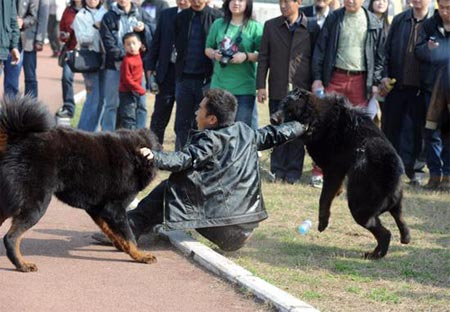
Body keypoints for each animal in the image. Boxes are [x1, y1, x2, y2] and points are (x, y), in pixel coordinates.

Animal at [0, 96, 160, 272]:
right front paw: (140, 255)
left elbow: (112, 232)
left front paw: (122, 246)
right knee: (11, 238)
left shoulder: (99, 208)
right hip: (35, 205)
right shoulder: (115, 209)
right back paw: (22, 264)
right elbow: (129, 235)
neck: (132, 156)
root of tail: (16, 139)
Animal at [270, 89, 412, 260]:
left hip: (360, 208)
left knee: (385, 233)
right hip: (394, 202)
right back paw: (404, 238)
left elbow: (324, 197)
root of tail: (391, 168)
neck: (321, 118)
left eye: (290, 111)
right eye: (281, 105)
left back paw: (375, 254)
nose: (272, 119)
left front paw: (323, 222)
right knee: (399, 217)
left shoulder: (333, 169)